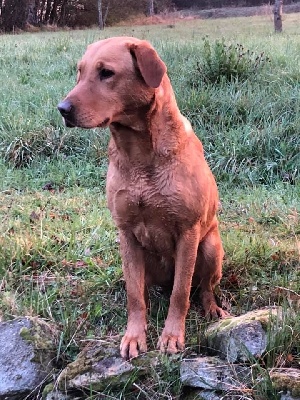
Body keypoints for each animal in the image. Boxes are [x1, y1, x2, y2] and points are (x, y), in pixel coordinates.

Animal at [58, 35, 227, 360]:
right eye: (80, 72)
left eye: (106, 73)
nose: (63, 108)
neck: (139, 154)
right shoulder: (126, 233)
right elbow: (134, 295)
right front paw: (134, 335)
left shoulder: (188, 232)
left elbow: (181, 293)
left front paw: (172, 336)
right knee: (146, 290)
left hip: (211, 248)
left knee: (202, 287)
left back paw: (211, 308)